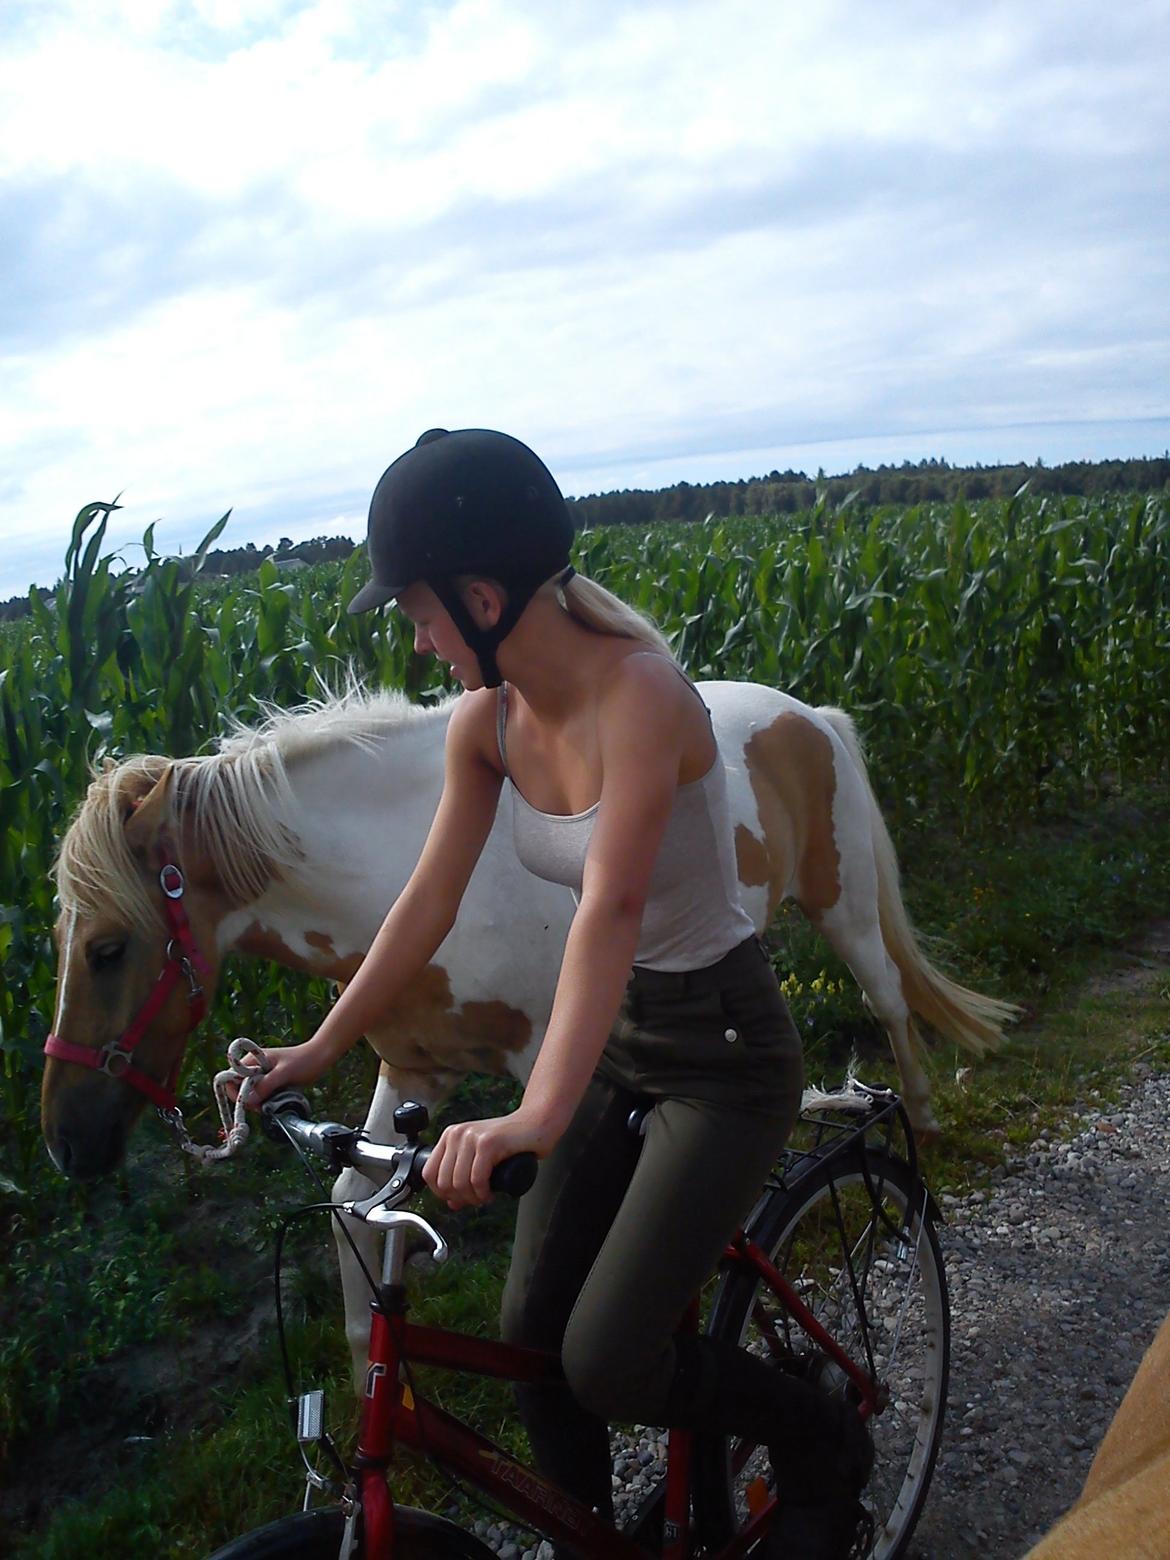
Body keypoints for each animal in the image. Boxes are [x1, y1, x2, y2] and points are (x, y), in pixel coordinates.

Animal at [43, 683, 1017, 1379]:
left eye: (107, 948)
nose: (64, 1142)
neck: (401, 864)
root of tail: (810, 714)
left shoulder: (546, 1077)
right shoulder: (412, 1075)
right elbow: (356, 1210)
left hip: (841, 906)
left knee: (891, 1003)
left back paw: (925, 1125)